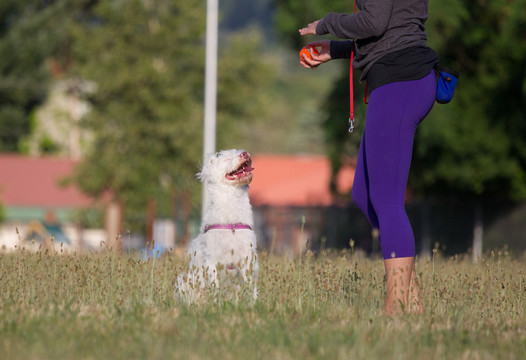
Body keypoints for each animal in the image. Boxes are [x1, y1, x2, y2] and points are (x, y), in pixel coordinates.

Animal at [177, 148, 260, 302]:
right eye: (226, 159)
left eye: (240, 151)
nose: (245, 153)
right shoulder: (212, 261)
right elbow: (215, 286)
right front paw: (216, 303)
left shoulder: (248, 259)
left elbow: (251, 286)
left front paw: (254, 303)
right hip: (184, 281)